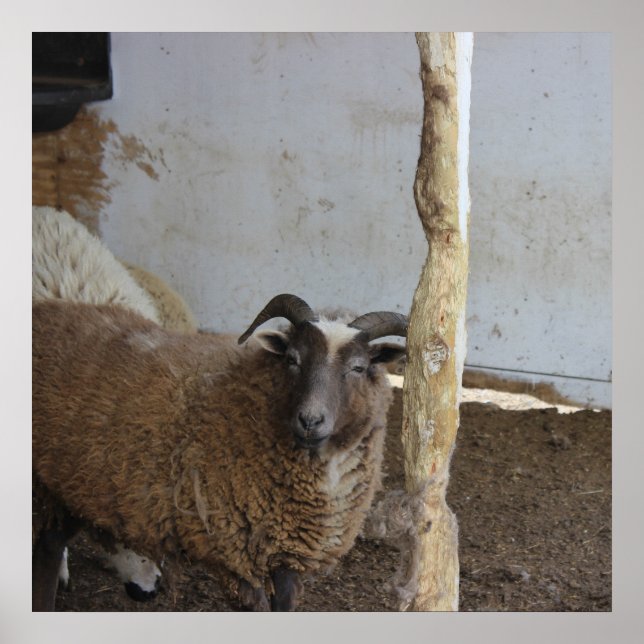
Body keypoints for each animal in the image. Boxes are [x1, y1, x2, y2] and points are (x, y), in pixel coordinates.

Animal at [32, 294, 407, 611]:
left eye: (358, 367)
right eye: (292, 359)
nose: (310, 420)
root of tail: (48, 308)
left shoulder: (287, 555)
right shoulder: (235, 557)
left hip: (69, 485)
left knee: (48, 544)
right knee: (47, 549)